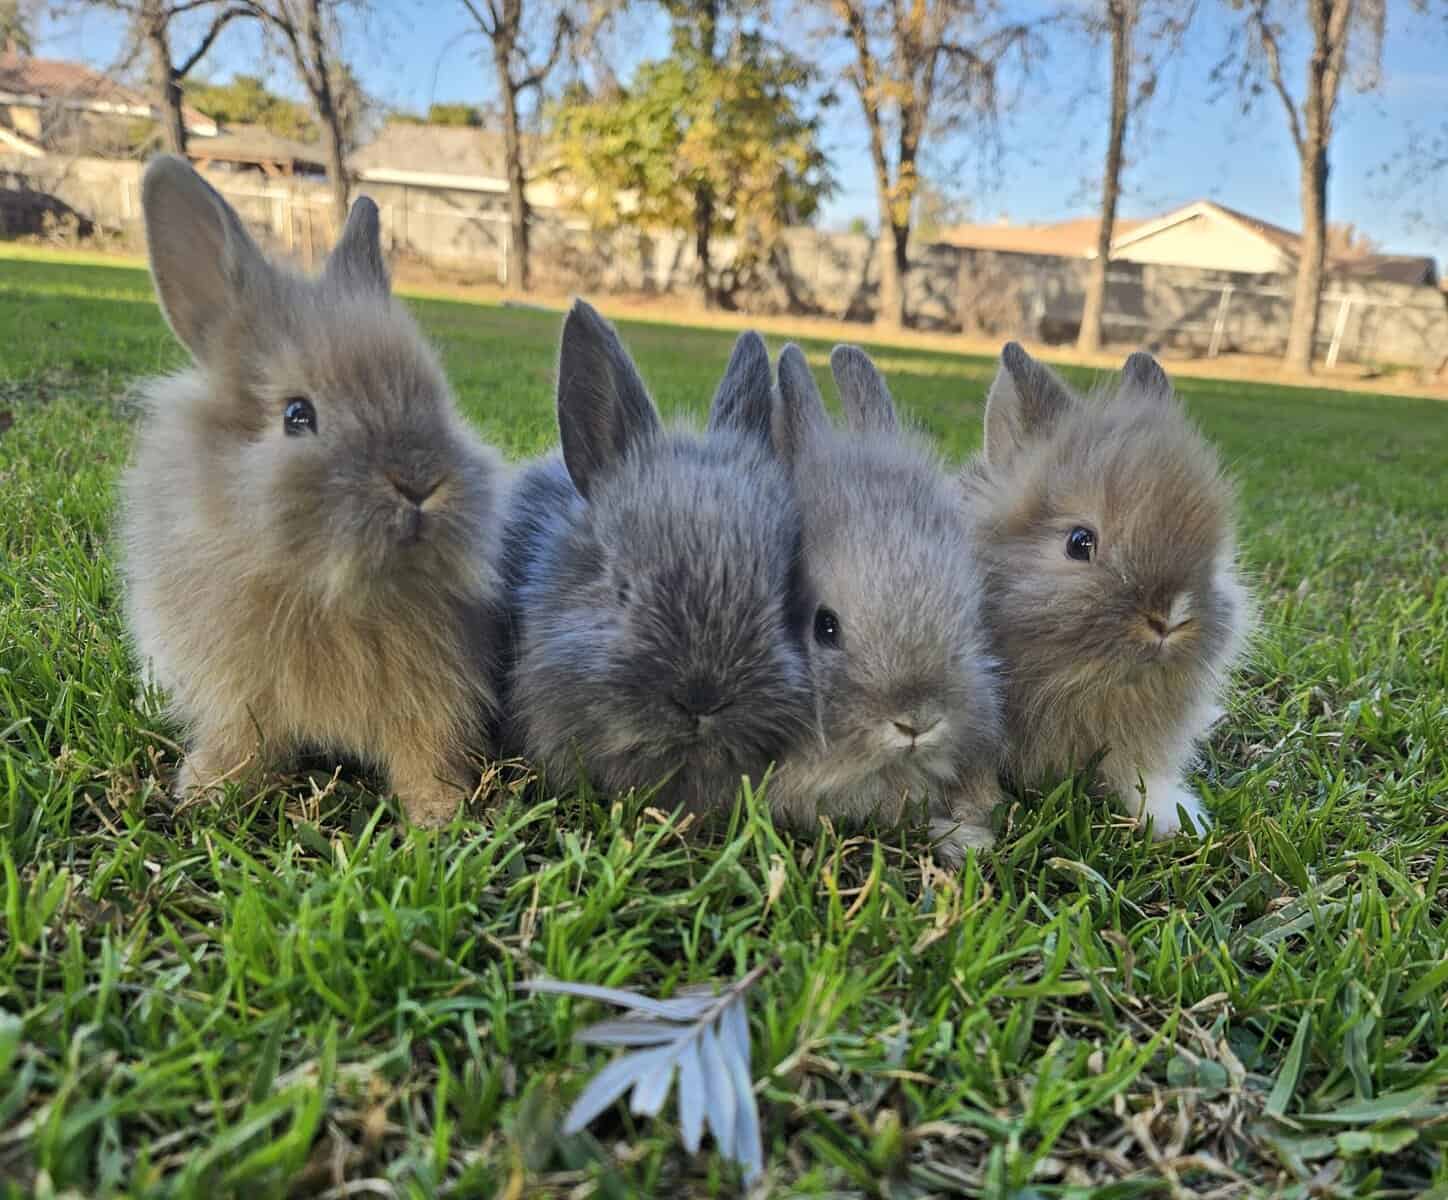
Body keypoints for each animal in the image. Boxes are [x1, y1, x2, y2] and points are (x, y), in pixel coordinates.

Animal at [119, 154, 505, 827]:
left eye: (438, 397)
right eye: (297, 415)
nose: (420, 482)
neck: (326, 593)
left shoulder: (436, 696)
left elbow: (427, 751)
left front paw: (441, 815)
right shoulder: (234, 692)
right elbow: (238, 742)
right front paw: (206, 793)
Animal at [960, 342, 1253, 837]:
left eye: (1214, 551)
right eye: (1079, 542)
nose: (1170, 617)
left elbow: (1139, 775)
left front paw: (1176, 819)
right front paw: (972, 836)